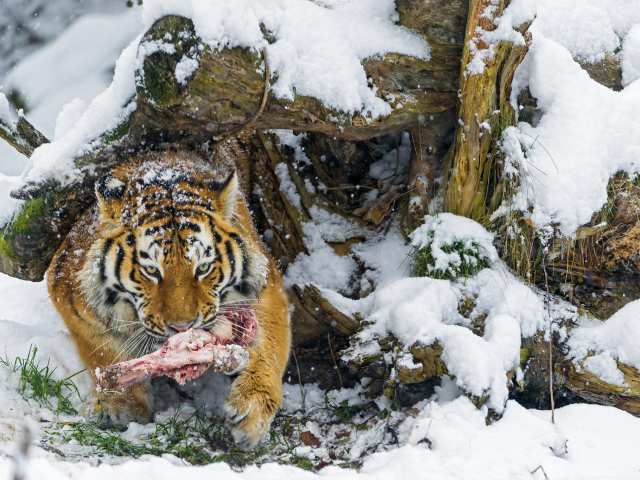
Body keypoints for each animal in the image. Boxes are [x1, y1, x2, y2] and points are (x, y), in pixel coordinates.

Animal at [47, 151, 290, 450]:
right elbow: (104, 353)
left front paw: (251, 413)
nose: (182, 328)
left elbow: (270, 350)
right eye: (151, 271)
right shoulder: (73, 298)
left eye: (203, 268)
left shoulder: (267, 287)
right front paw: (121, 406)